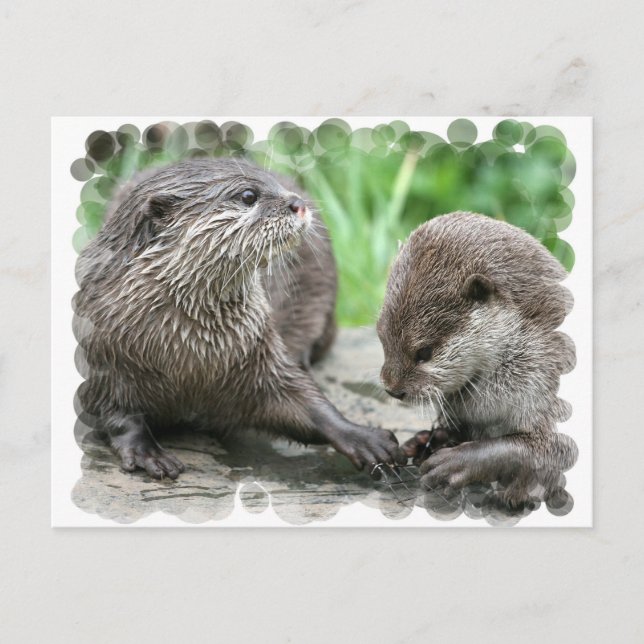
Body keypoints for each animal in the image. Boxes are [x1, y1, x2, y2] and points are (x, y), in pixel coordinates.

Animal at [74, 157, 401, 480]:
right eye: (248, 196)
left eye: (275, 184)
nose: (299, 203)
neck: (189, 353)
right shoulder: (102, 360)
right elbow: (116, 414)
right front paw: (145, 451)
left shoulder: (258, 353)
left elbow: (307, 403)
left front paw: (362, 437)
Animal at [377, 212, 578, 507]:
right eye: (381, 336)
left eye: (424, 352)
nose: (393, 390)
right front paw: (426, 440)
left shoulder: (549, 377)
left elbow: (543, 447)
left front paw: (459, 462)